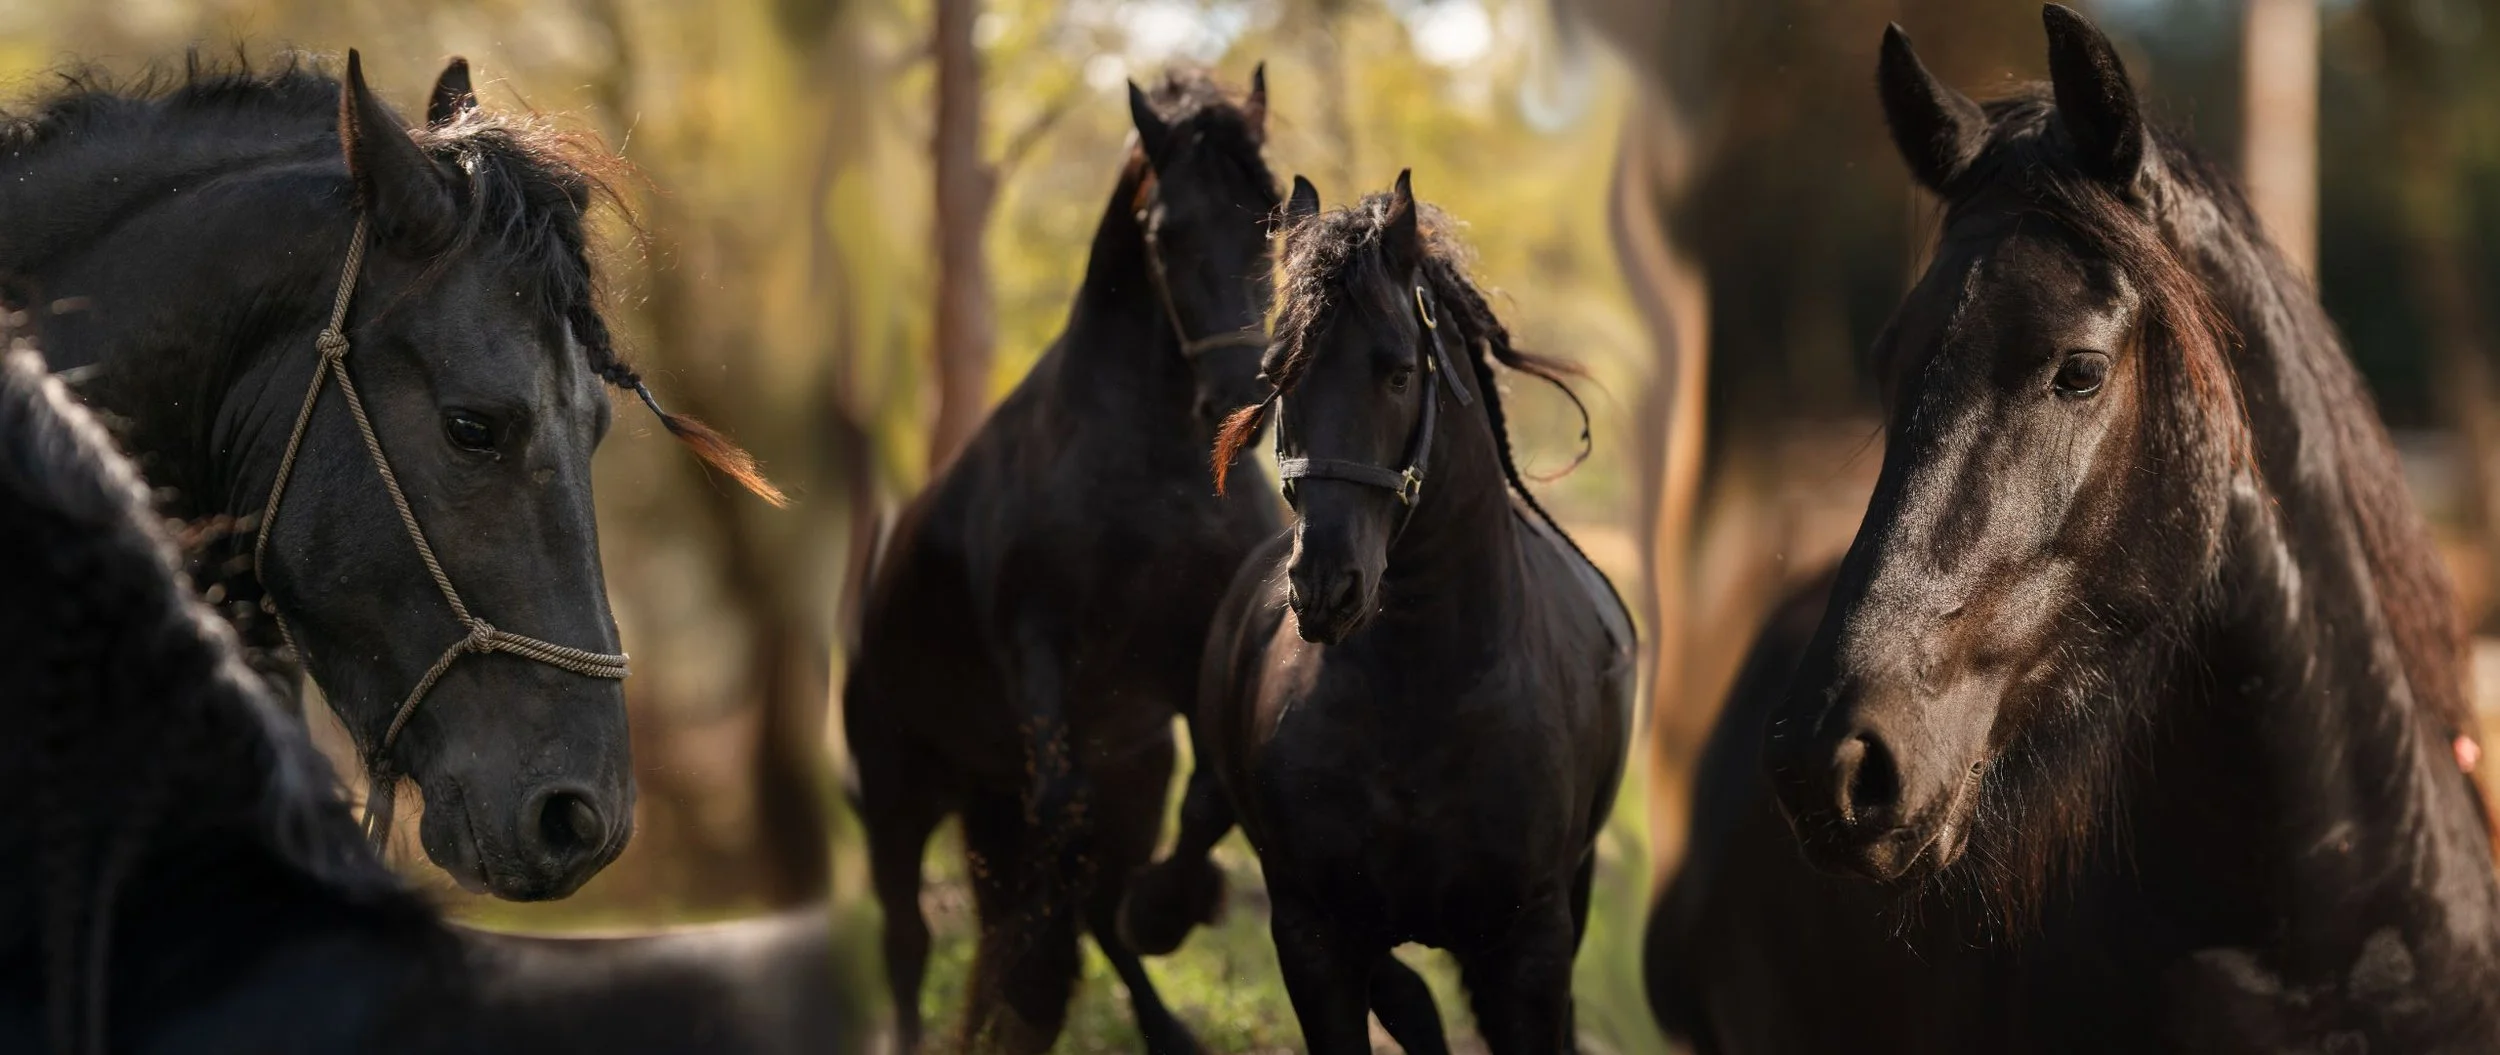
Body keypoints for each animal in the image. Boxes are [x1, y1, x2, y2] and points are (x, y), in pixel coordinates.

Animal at [841, 67, 1283, 1053]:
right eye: (1165, 233)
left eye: (1274, 218)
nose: (1243, 401)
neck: (1161, 465)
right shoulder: (1039, 644)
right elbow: (1067, 845)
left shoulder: (1195, 654)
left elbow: (1207, 804)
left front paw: (1171, 907)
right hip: (901, 798)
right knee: (910, 937)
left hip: (1048, 784)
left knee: (1076, 891)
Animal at [1125, 171, 1634, 1054]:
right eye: (1278, 374)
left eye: (1397, 371)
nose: (1325, 586)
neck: (1423, 690)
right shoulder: (1313, 934)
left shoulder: (1530, 945)